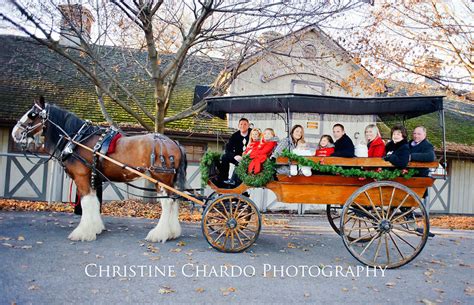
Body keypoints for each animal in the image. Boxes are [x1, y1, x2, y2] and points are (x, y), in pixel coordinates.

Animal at [11, 97, 187, 242]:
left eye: (32, 115)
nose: (15, 133)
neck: (79, 139)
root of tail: (174, 143)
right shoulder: (94, 177)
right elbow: (94, 201)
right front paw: (95, 228)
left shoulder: (81, 177)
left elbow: (86, 202)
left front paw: (82, 232)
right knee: (174, 201)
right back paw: (172, 233)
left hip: (161, 179)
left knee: (167, 203)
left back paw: (159, 234)